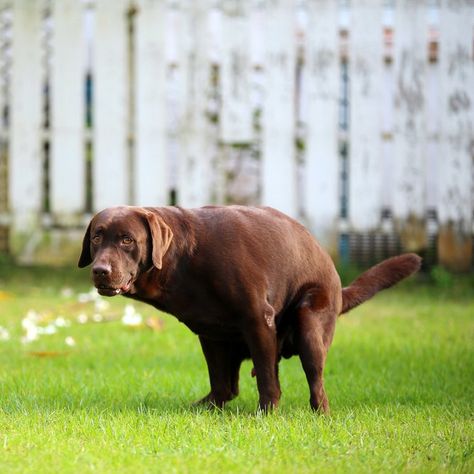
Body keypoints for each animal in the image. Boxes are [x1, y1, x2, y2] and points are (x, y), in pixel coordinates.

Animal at [78, 206, 422, 412]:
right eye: (96, 237)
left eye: (127, 240)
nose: (100, 271)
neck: (185, 258)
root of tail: (338, 285)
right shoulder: (210, 333)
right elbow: (221, 381)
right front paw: (208, 408)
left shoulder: (258, 319)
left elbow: (268, 380)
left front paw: (266, 413)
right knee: (231, 384)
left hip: (311, 322)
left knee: (316, 383)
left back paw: (319, 413)